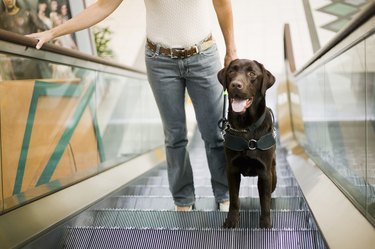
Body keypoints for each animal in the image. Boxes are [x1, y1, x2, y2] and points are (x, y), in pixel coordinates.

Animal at [219, 59, 278, 229]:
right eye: (232, 71)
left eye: (252, 74)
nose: (236, 85)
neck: (246, 128)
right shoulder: (231, 170)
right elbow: (233, 199)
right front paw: (232, 220)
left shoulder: (265, 173)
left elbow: (265, 201)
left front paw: (265, 223)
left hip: (273, 175)